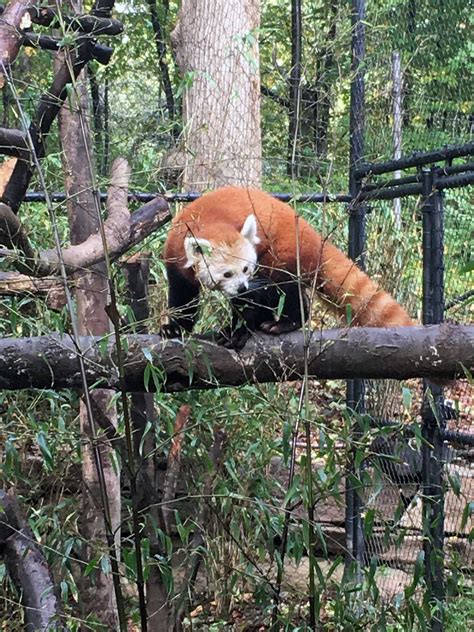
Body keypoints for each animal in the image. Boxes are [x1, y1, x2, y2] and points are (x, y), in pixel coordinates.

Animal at [161, 185, 412, 344]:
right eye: (227, 274)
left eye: (245, 269)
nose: (241, 287)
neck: (209, 221)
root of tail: (312, 234)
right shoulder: (175, 257)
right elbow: (183, 297)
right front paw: (175, 327)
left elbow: (248, 301)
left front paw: (237, 331)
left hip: (281, 253)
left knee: (284, 290)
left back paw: (285, 322)